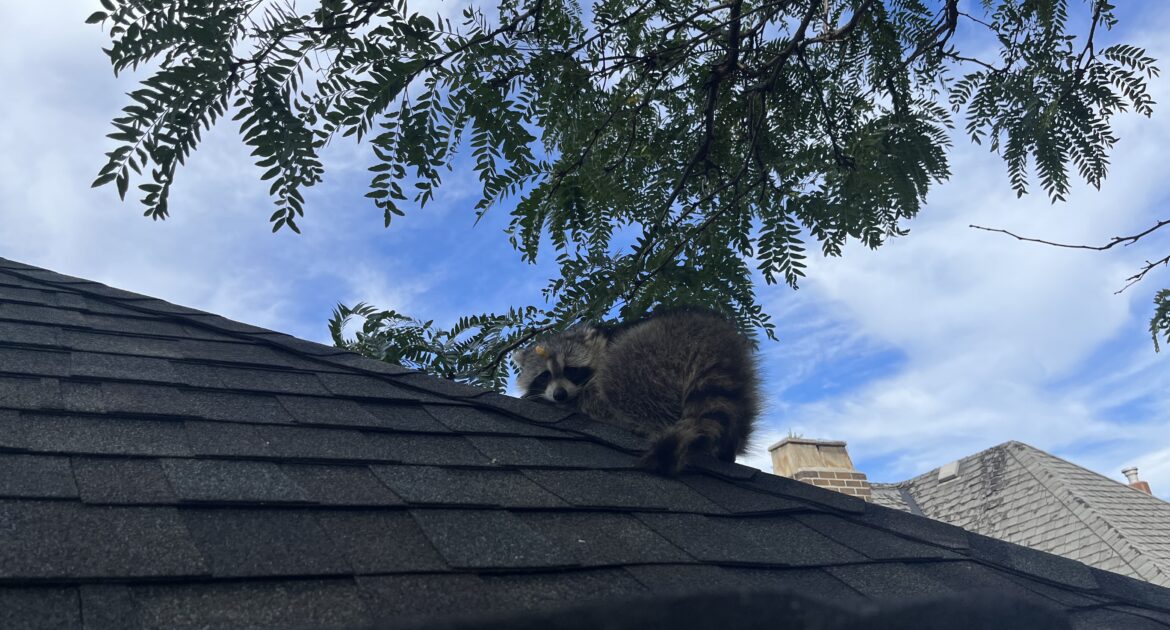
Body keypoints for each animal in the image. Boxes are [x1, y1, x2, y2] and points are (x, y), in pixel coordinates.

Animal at [514, 306, 758, 473]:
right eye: (545, 376)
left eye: (571, 370)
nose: (559, 395)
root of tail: (708, 336)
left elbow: (593, 400)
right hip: (743, 372)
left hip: (647, 356)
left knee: (620, 387)